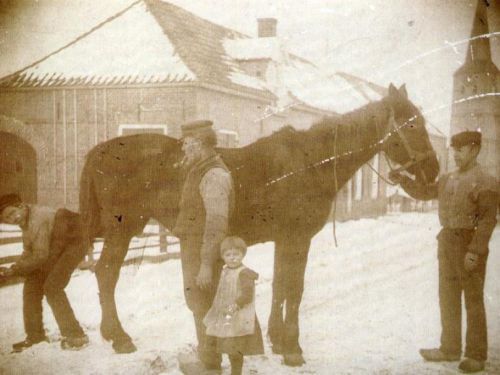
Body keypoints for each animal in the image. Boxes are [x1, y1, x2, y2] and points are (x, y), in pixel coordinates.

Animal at [80, 84, 440, 368]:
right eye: (412, 124)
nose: (433, 173)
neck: (311, 162)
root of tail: (99, 150)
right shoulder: (296, 239)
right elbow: (294, 288)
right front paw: (293, 348)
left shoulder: (286, 240)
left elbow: (281, 286)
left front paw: (277, 340)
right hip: (122, 229)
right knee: (107, 274)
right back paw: (120, 337)